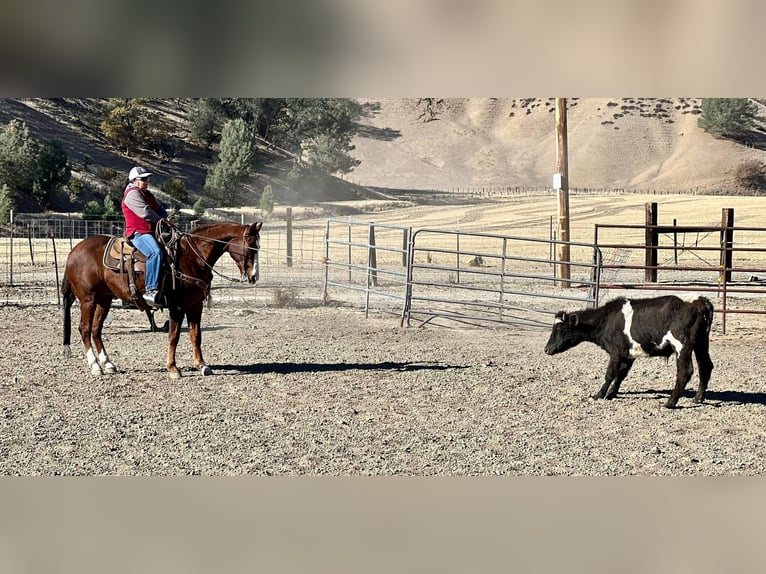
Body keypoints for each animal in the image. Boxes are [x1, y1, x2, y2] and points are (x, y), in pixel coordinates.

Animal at [61, 220, 264, 378]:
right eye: (251, 246)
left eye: (258, 247)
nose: (254, 276)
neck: (192, 258)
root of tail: (73, 251)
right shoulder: (177, 307)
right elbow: (174, 336)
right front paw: (173, 368)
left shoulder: (195, 305)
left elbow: (196, 335)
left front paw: (202, 365)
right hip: (88, 299)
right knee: (85, 329)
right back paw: (95, 366)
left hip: (105, 299)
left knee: (96, 329)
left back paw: (108, 364)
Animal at [544, 296, 712, 410]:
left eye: (561, 330)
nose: (546, 349)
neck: (606, 320)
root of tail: (701, 302)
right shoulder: (627, 355)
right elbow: (621, 375)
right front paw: (611, 394)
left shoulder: (615, 353)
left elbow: (610, 374)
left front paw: (599, 395)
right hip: (701, 343)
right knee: (705, 366)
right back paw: (698, 398)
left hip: (682, 346)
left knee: (685, 371)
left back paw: (670, 403)